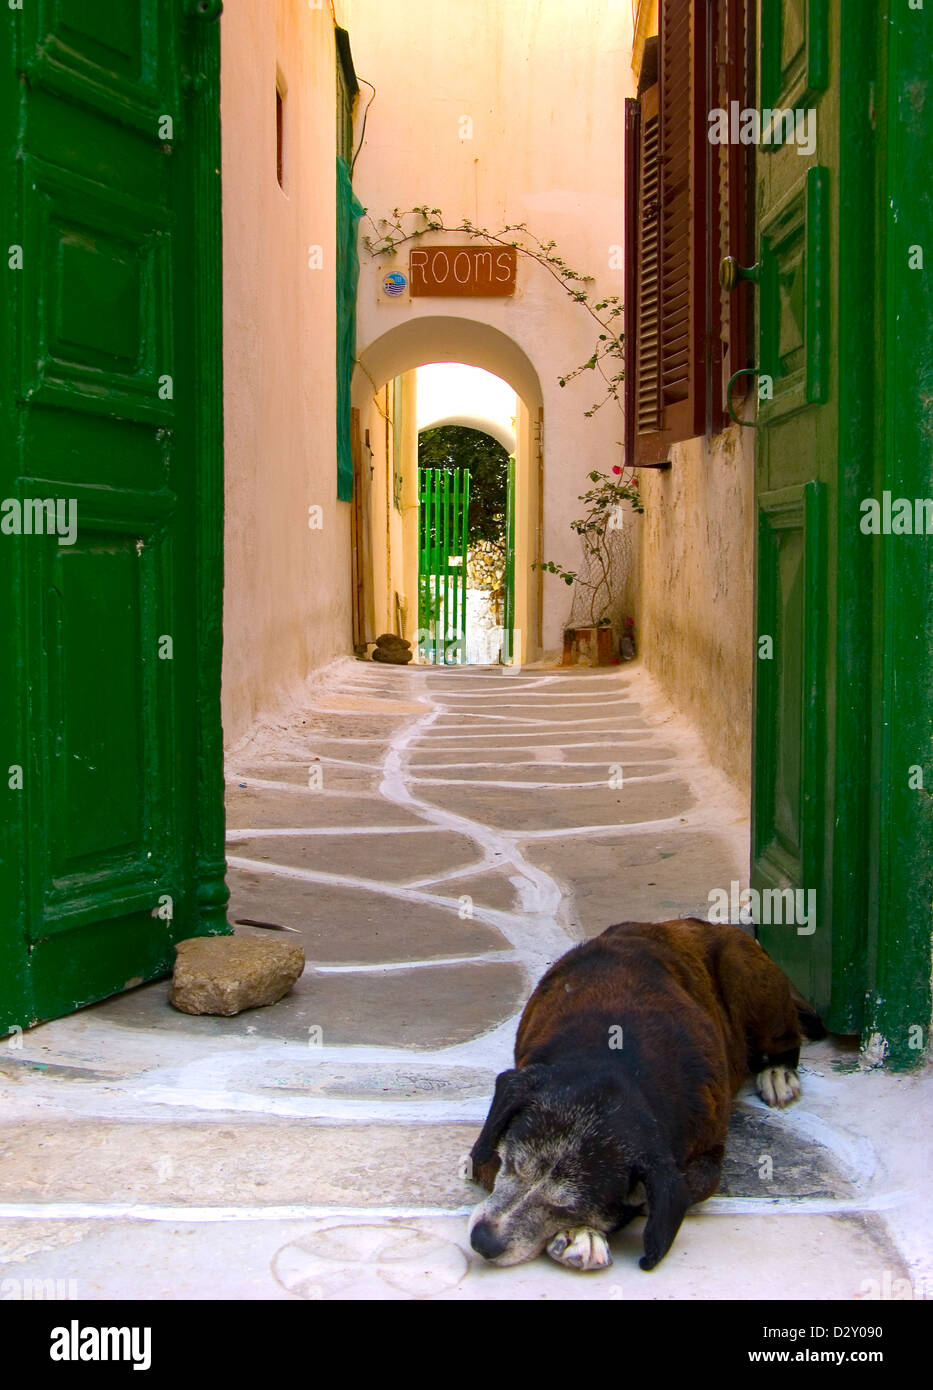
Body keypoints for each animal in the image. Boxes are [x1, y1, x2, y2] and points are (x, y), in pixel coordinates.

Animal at [467, 917, 823, 1273]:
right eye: (512, 1164)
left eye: (568, 1206)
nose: (483, 1241)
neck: (617, 1061)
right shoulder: (487, 1147)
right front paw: (584, 1233)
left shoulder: (707, 1155)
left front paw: (583, 1231)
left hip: (742, 967)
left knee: (786, 1037)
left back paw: (778, 1072)